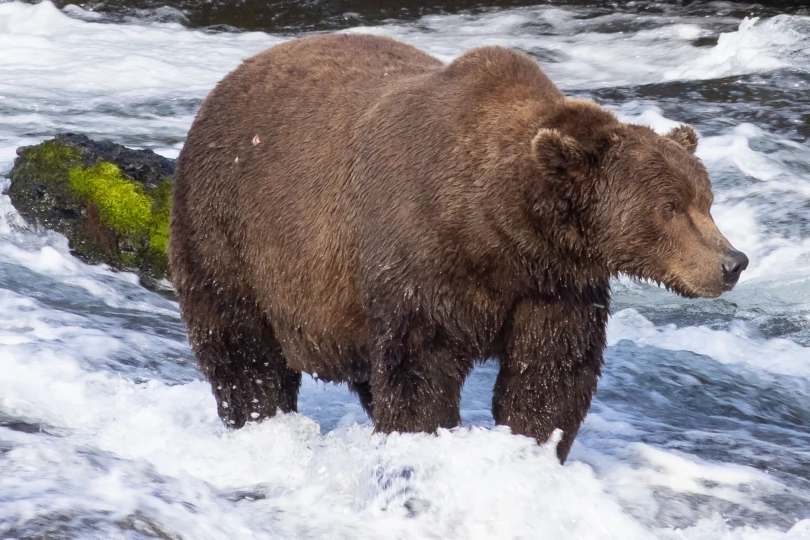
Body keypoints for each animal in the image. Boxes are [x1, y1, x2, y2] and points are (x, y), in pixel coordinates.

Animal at [170, 34, 748, 463]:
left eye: (707, 199)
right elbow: (419, 367)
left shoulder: (556, 286)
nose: (732, 263)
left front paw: (530, 446)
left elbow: (551, 373)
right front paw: (428, 439)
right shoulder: (424, 259)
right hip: (229, 233)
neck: (502, 229)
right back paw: (261, 422)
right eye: (670, 206)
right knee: (244, 353)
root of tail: (217, 91)